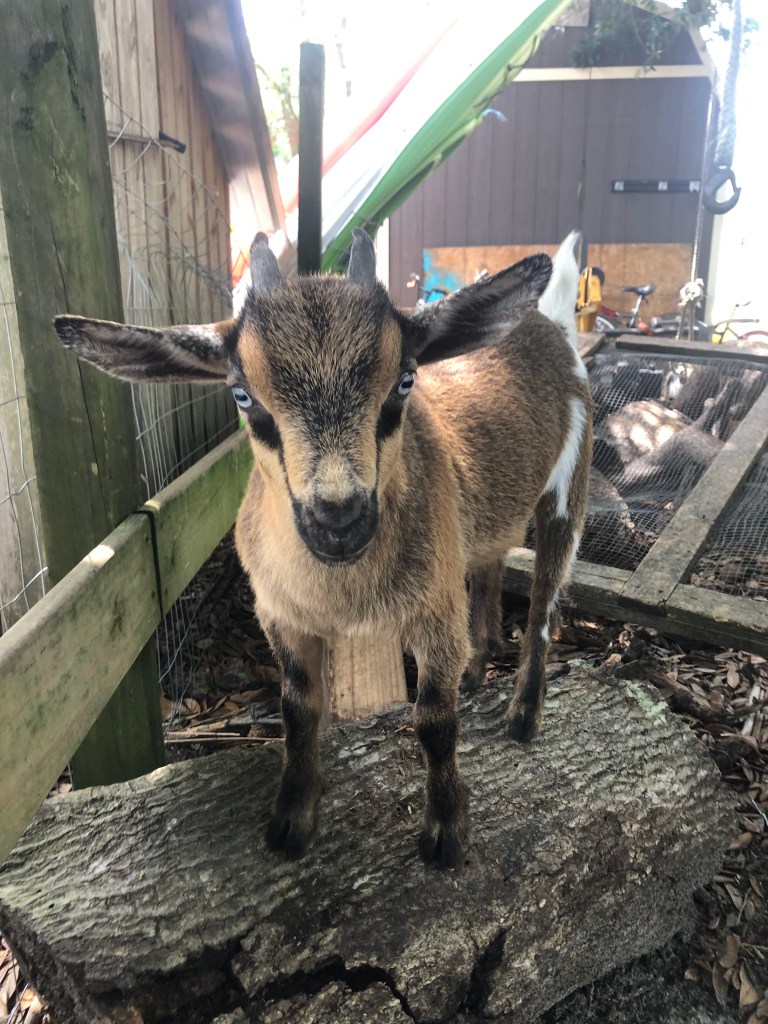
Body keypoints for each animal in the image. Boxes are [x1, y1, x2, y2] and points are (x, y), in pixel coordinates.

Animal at [54, 229, 592, 869]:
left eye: (404, 381)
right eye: (243, 396)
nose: (339, 518)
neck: (343, 596)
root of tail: (550, 321)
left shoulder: (434, 609)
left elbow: (434, 721)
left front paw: (446, 831)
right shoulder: (281, 616)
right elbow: (298, 708)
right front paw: (292, 818)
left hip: (571, 482)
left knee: (544, 604)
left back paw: (523, 716)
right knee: (489, 573)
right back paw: (477, 669)